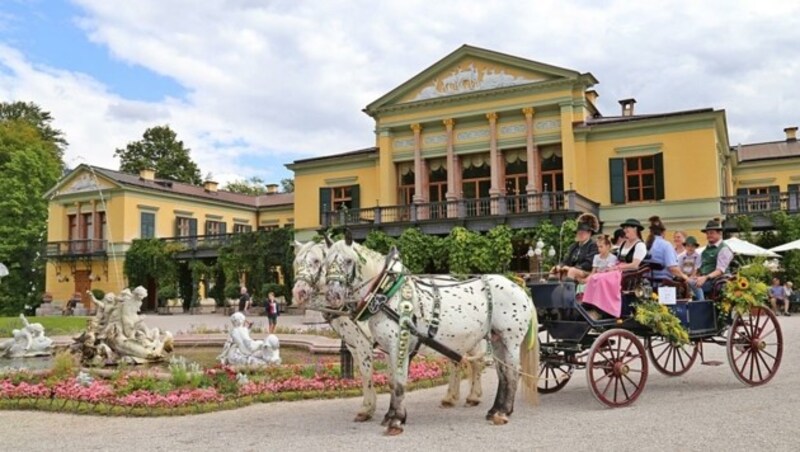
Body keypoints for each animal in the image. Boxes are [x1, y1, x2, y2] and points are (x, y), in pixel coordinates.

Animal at [292, 242, 484, 422]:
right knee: (456, 361)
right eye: (297, 262)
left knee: (476, 361)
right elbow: (383, 377)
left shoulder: (367, 344)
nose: (299, 292)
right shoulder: (356, 346)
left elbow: (368, 373)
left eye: (317, 261)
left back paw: (473, 396)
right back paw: (450, 397)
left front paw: (368, 408)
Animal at [324, 240, 536, 434]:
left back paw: (503, 412)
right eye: (326, 262)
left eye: (349, 261)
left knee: (512, 372)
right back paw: (495, 410)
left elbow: (399, 383)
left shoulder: (397, 345)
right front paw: (390, 416)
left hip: (511, 340)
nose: (333, 295)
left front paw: (396, 421)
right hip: (497, 339)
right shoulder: (387, 349)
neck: (388, 294)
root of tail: (520, 289)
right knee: (503, 373)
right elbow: (392, 381)